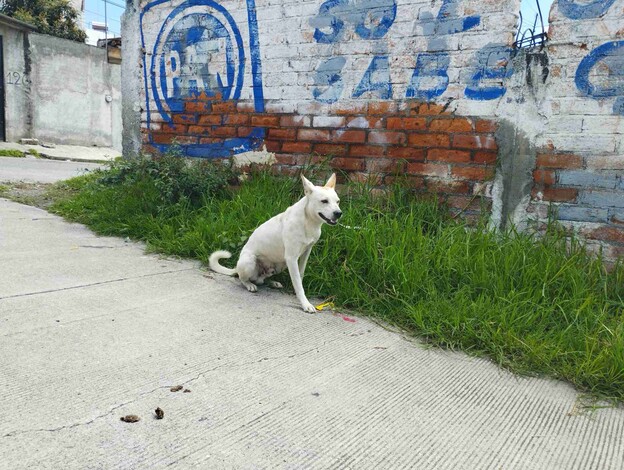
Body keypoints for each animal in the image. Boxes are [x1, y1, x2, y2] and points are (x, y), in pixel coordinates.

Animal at [210, 173, 342, 312]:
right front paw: (305, 303)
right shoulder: (291, 258)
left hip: (278, 266)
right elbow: (298, 284)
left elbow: (299, 277)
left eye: (337, 201)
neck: (308, 221)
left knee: (261, 279)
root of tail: (236, 267)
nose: (339, 213)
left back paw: (272, 282)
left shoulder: (305, 253)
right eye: (324, 201)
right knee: (243, 279)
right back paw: (249, 284)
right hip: (249, 262)